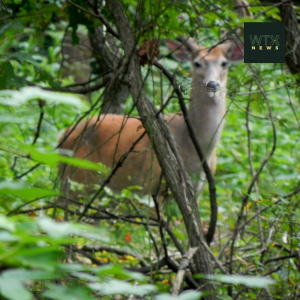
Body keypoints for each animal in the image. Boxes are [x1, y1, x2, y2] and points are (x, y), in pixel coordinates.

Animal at [58, 35, 244, 206]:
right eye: (197, 63)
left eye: (224, 63)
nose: (212, 84)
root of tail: (64, 135)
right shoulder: (150, 186)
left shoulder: (198, 193)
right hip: (76, 177)